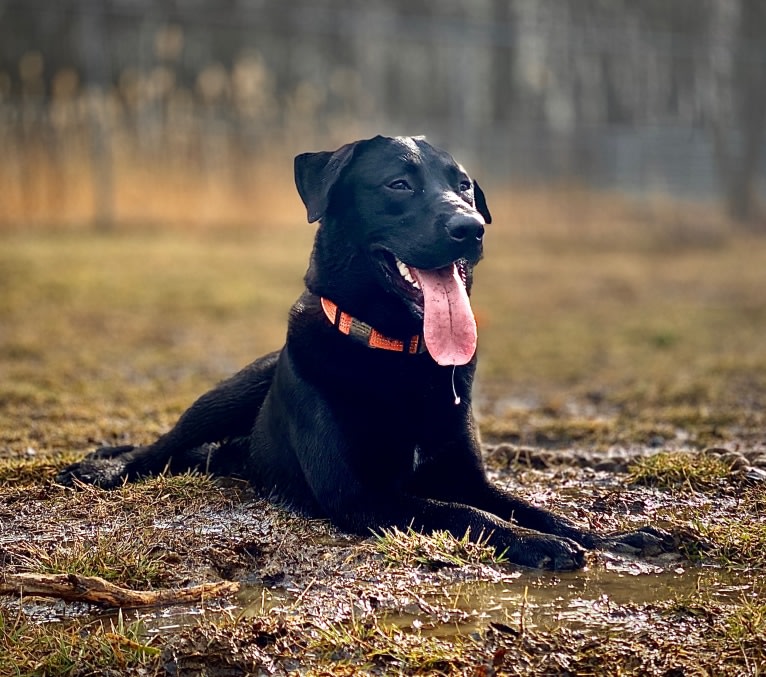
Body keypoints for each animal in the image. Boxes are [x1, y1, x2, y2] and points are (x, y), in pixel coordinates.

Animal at [61, 135, 672, 568]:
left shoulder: (466, 475)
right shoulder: (362, 495)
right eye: (398, 184)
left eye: (465, 187)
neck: (402, 353)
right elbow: (463, 513)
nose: (471, 227)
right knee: (155, 450)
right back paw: (98, 471)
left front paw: (614, 537)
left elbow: (533, 508)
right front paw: (536, 544)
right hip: (222, 399)